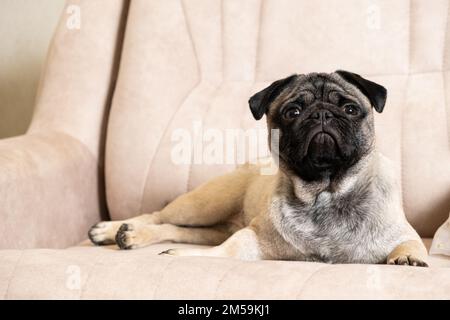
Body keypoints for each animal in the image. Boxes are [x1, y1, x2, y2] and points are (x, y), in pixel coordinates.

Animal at [89, 71, 428, 266]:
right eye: (293, 112)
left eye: (349, 108)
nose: (321, 114)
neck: (325, 191)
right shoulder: (252, 239)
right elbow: (221, 253)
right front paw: (184, 256)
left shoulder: (401, 232)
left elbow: (410, 243)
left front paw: (408, 258)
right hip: (205, 203)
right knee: (159, 216)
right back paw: (116, 230)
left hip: (211, 223)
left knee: (177, 230)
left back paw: (129, 235)